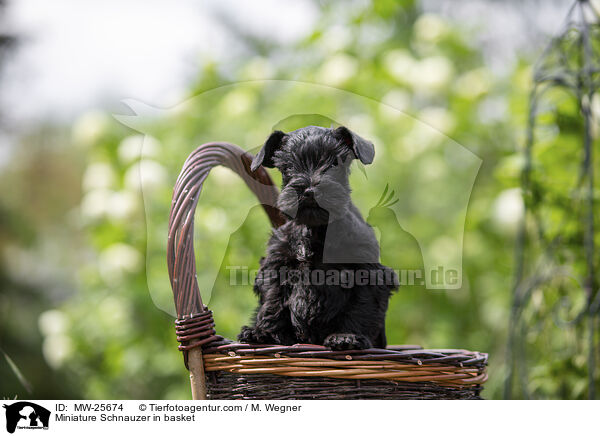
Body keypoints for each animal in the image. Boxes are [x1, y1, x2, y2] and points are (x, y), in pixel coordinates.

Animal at [239, 124, 398, 350]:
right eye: (288, 166)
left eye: (334, 163)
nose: (309, 191)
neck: (313, 230)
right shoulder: (276, 266)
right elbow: (273, 303)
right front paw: (264, 333)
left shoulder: (367, 272)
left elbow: (360, 307)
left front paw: (345, 336)